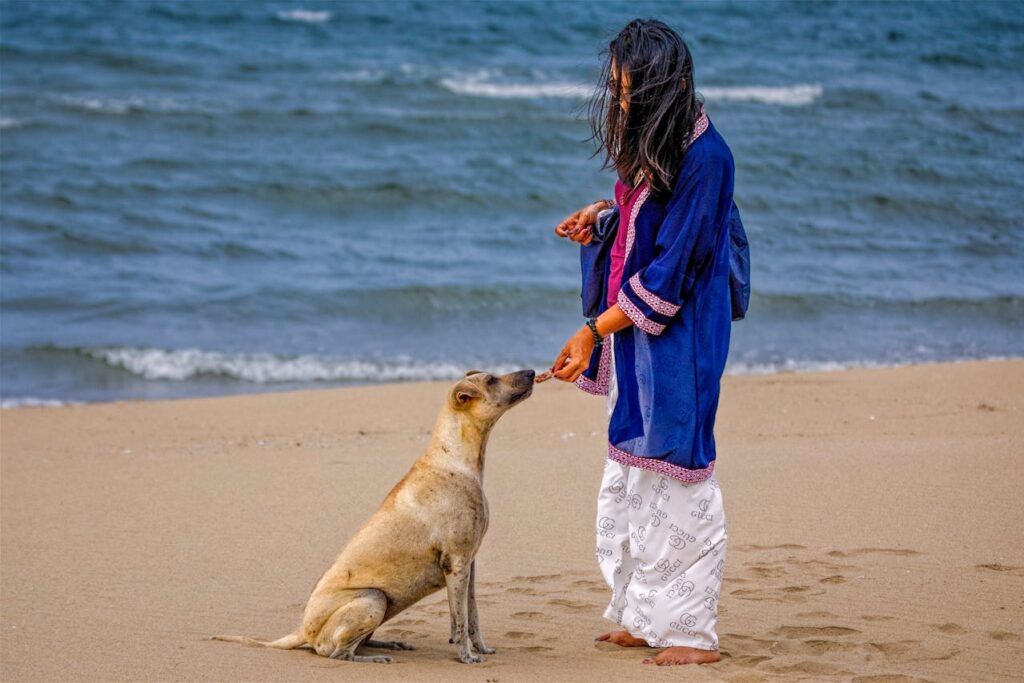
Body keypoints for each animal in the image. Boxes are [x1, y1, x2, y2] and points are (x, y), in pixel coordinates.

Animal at [212, 368, 540, 663]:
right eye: (492, 380)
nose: (532, 371)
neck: (455, 459)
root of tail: (301, 631)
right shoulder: (457, 563)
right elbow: (459, 621)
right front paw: (467, 656)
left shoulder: (469, 565)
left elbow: (472, 618)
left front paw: (481, 649)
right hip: (374, 597)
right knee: (336, 653)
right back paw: (372, 657)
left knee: (355, 644)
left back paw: (388, 644)